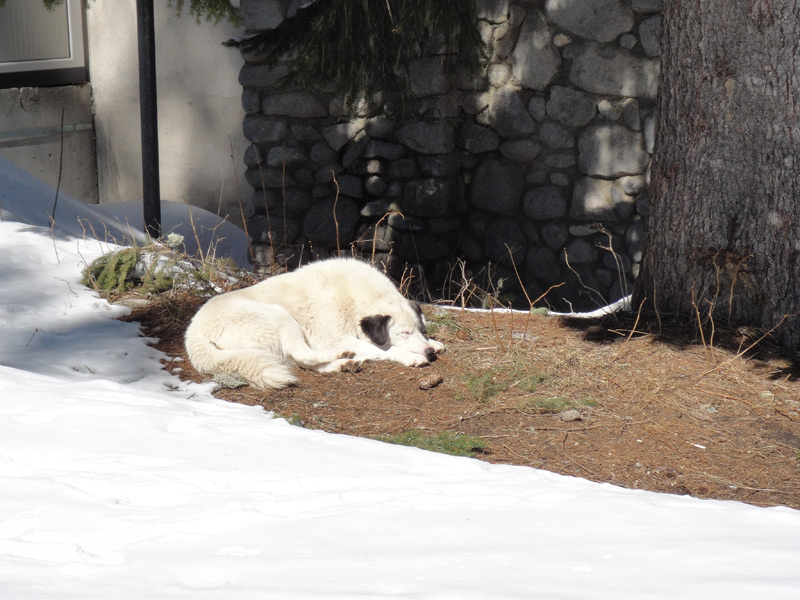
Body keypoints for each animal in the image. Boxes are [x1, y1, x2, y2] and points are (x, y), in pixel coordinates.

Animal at [185, 256, 446, 390]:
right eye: (404, 333)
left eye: (420, 329)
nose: (429, 353)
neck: (355, 297)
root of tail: (194, 336)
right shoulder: (331, 337)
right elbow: (383, 349)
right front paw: (410, 357)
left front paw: (435, 343)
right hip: (281, 317)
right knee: (304, 355)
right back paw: (344, 355)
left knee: (302, 361)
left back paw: (344, 364)